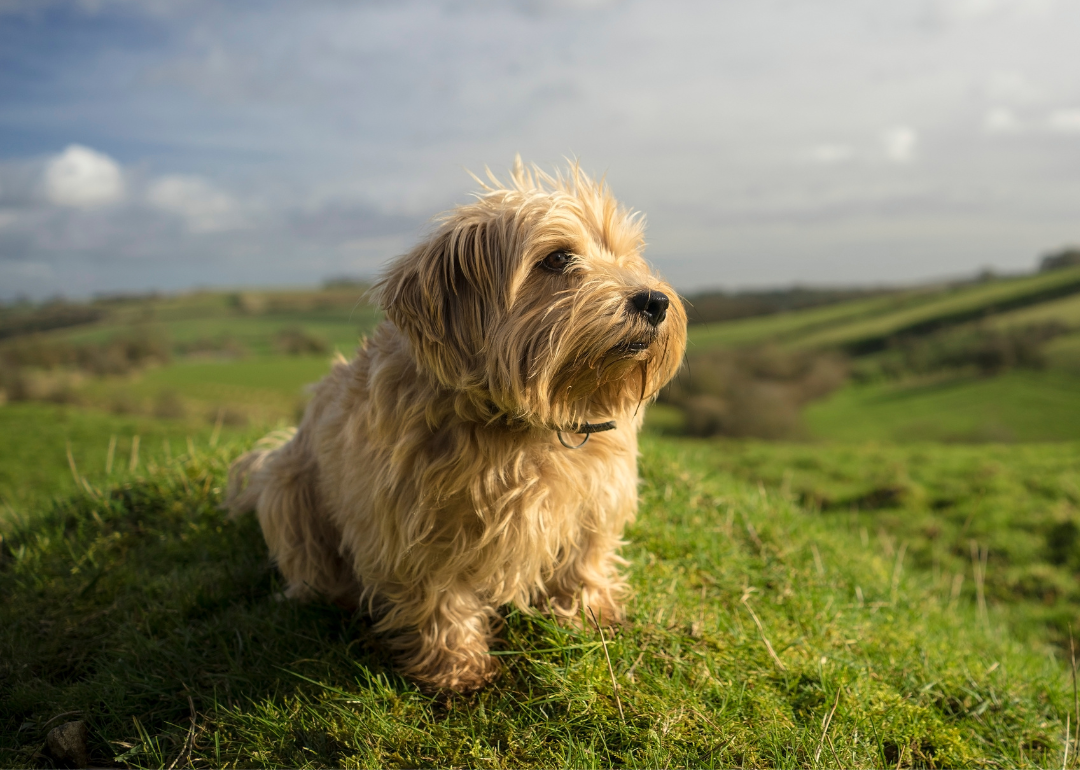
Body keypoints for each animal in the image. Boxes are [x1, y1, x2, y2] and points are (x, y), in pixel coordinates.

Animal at [223, 157, 686, 691]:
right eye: (557, 259)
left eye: (628, 255)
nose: (654, 301)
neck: (521, 424)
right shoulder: (415, 525)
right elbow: (440, 594)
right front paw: (456, 667)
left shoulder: (597, 499)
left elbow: (585, 558)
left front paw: (590, 612)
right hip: (287, 488)